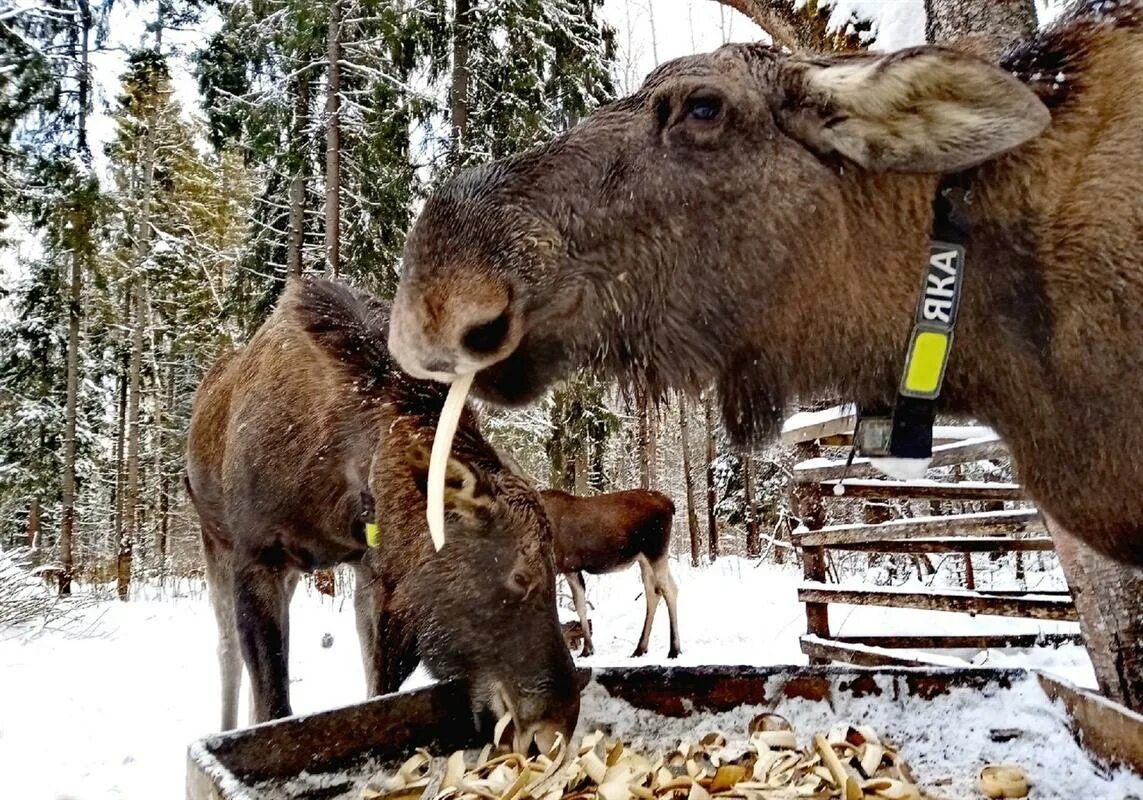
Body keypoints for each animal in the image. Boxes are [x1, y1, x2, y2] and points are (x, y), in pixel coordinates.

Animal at [188, 275, 585, 749]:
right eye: (521, 575)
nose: (557, 724)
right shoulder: (258, 556)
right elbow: (275, 708)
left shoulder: (373, 572)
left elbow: (378, 688)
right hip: (216, 542)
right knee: (227, 653)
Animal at [537, 491, 672, 658]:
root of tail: (671, 504)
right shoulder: (570, 569)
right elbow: (580, 606)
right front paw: (588, 649)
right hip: (645, 559)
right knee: (655, 593)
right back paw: (640, 648)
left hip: (655, 550)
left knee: (668, 590)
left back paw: (674, 650)